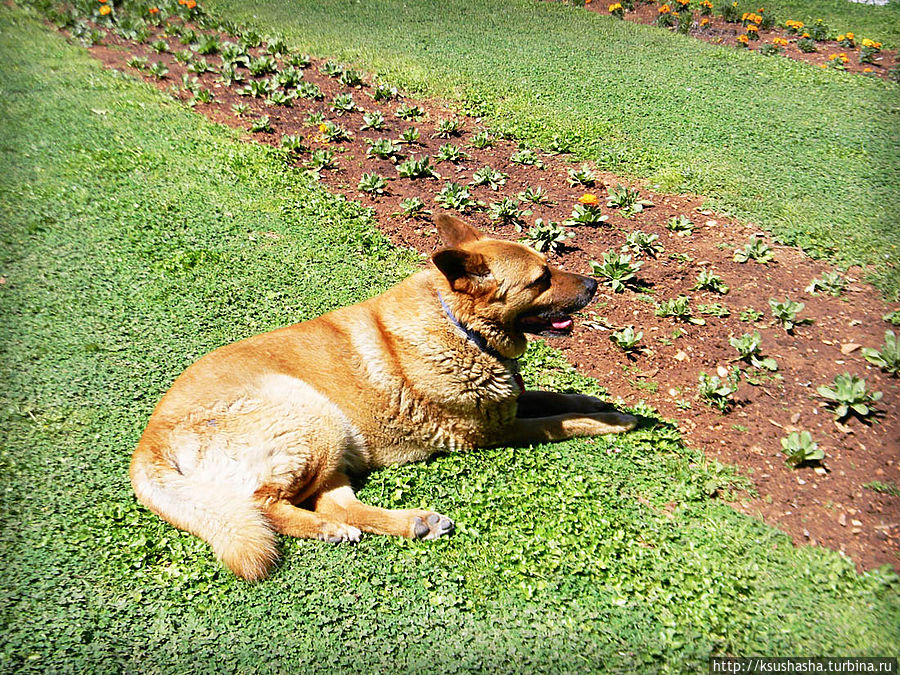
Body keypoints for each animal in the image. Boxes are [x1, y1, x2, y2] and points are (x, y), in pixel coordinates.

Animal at [130, 217, 636, 580]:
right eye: (541, 278)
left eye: (548, 266)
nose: (595, 285)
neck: (459, 327)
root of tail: (149, 440)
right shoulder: (495, 431)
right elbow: (560, 422)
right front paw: (617, 421)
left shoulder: (508, 405)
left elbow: (555, 397)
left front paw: (596, 402)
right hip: (312, 416)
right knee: (266, 505)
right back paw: (329, 530)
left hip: (334, 443)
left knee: (333, 502)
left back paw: (412, 523)